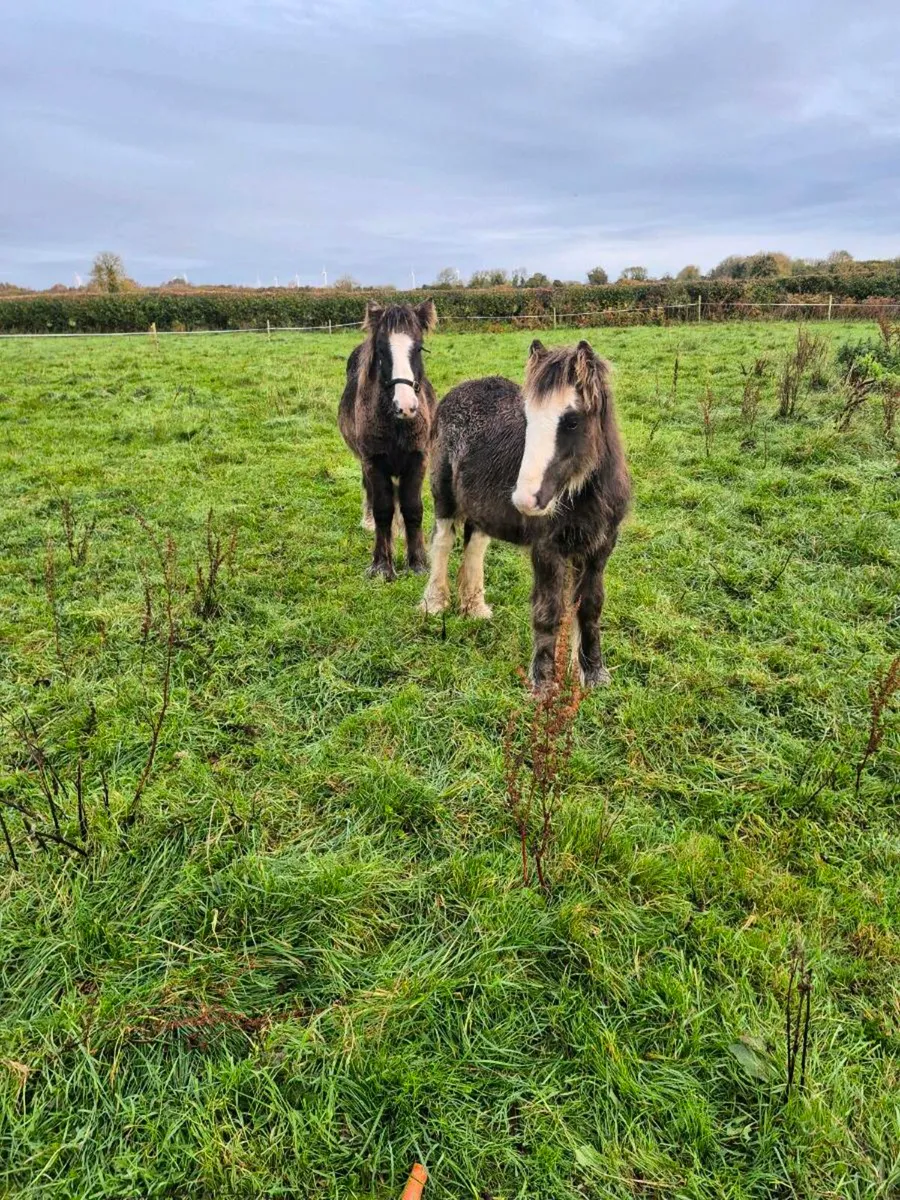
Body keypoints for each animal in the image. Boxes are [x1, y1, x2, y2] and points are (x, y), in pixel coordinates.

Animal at [338, 299, 438, 579]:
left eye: (419, 348)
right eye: (382, 350)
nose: (405, 406)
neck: (397, 424)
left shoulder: (418, 460)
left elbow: (412, 508)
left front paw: (417, 563)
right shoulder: (374, 461)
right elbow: (383, 509)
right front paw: (382, 565)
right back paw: (369, 521)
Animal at [421, 339, 630, 687]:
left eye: (571, 421)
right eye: (528, 418)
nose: (526, 500)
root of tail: (459, 389)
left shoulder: (600, 548)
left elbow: (589, 607)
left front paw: (593, 674)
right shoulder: (547, 550)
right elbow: (548, 612)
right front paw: (543, 683)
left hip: (482, 509)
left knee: (475, 546)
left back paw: (474, 607)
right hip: (444, 495)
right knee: (442, 542)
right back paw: (434, 603)